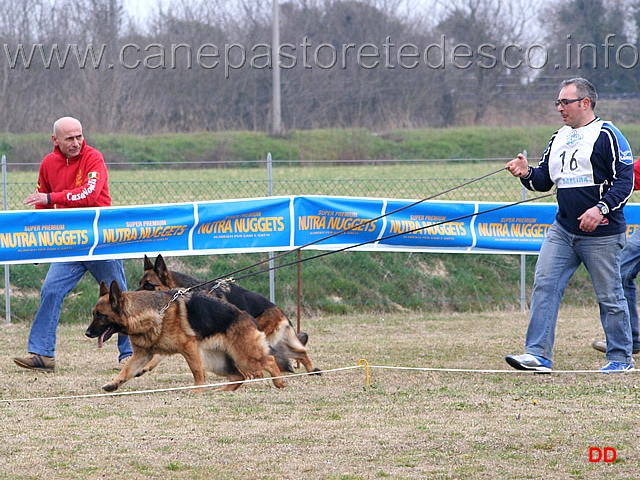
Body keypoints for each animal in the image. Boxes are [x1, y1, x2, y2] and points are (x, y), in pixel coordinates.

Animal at [86, 280, 286, 392]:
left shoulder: (188, 348)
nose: (87, 333)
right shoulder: (142, 355)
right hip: (217, 362)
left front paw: (197, 390)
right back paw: (223, 390)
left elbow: (196, 371)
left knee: (269, 361)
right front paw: (113, 384)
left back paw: (279, 383)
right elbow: (126, 370)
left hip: (245, 356)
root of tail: (247, 316)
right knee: (239, 377)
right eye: (93, 313)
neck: (152, 314)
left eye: (100, 315)